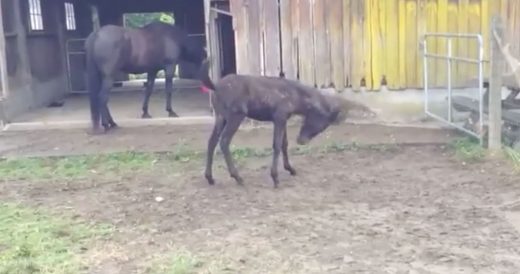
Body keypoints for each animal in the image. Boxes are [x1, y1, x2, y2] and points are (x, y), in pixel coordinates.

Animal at [199, 60, 362, 187]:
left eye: (323, 128)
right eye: (319, 121)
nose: (302, 140)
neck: (295, 96)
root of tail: (215, 87)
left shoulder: (283, 119)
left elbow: (284, 144)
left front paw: (290, 169)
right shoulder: (279, 117)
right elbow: (277, 145)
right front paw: (275, 178)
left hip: (221, 117)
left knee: (211, 142)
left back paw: (210, 178)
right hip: (235, 116)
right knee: (224, 141)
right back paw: (238, 177)